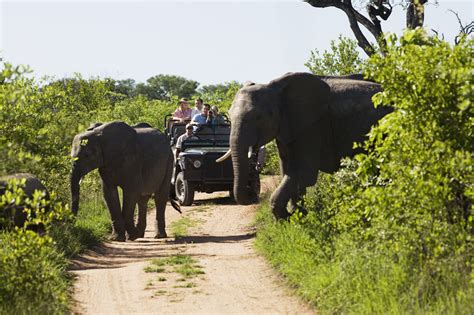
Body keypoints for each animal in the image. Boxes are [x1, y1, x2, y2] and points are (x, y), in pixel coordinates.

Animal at [217, 72, 390, 220]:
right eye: (229, 115)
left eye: (259, 117)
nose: (252, 195)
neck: (276, 91)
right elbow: (286, 170)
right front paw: (298, 215)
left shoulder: (312, 126)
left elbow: (302, 173)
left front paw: (289, 218)